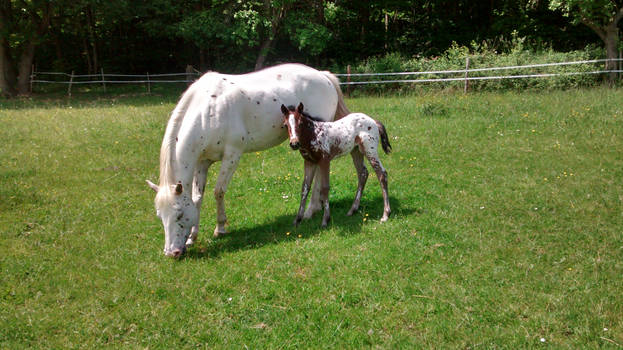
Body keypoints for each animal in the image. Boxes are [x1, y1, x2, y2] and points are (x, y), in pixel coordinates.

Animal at [147, 63, 352, 258]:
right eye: (160, 216)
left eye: (179, 214)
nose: (172, 253)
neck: (208, 111)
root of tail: (323, 76)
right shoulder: (202, 162)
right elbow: (197, 199)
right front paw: (192, 237)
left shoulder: (232, 155)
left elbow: (218, 191)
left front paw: (220, 228)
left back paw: (310, 210)